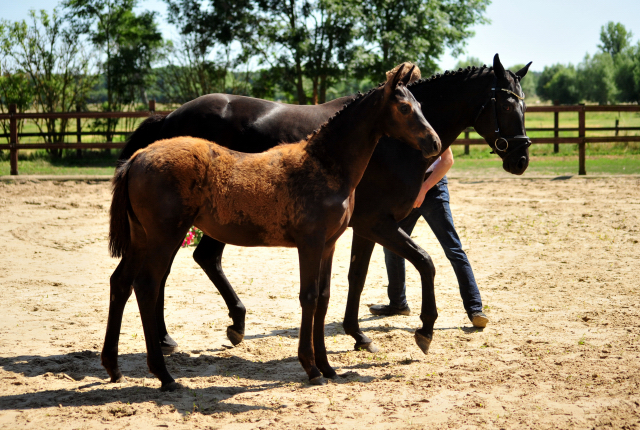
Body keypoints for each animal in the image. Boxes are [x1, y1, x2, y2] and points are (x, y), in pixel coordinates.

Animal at [102, 63, 442, 390]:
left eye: (420, 104)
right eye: (404, 108)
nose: (434, 143)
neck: (325, 164)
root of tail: (136, 159)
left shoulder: (329, 244)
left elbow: (323, 297)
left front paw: (328, 367)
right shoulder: (311, 242)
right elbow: (308, 297)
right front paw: (311, 368)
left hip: (141, 238)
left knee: (121, 282)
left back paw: (113, 367)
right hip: (164, 236)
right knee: (148, 285)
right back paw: (165, 375)